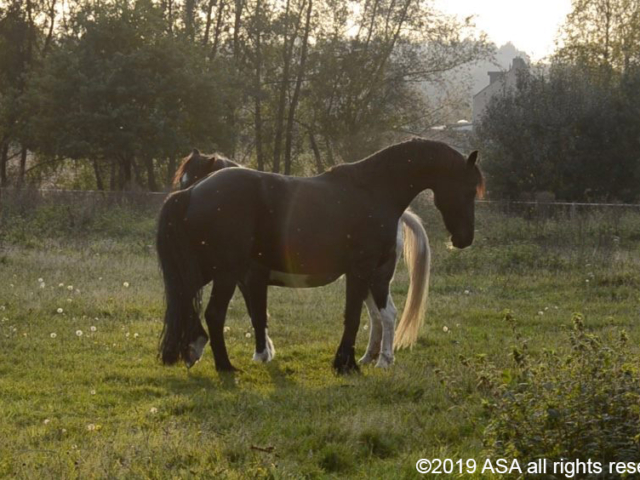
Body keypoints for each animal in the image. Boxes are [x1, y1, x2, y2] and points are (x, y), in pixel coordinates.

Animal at [158, 137, 482, 374]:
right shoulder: (359, 269)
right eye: (468, 189)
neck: (373, 190)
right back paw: (223, 365)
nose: (464, 238)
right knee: (211, 312)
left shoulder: (359, 271)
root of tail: (193, 195)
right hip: (222, 272)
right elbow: (350, 317)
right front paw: (344, 363)